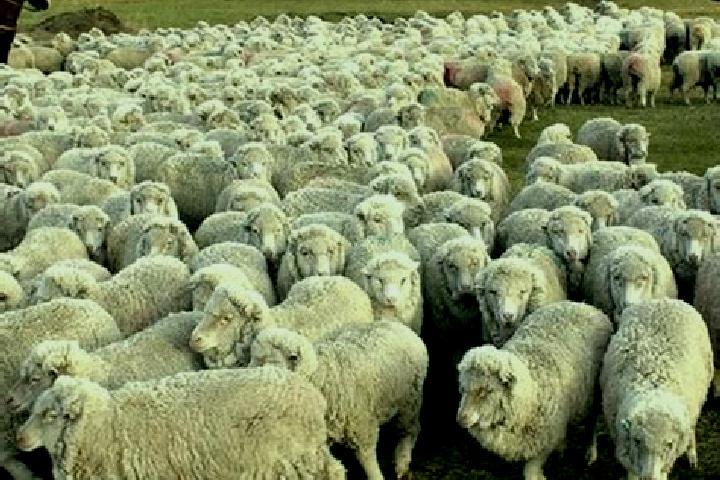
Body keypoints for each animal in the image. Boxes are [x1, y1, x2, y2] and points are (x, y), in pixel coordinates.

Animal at [249, 321, 427, 480]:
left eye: (270, 363)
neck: (319, 375)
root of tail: (397, 324)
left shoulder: (362, 425)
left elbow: (367, 459)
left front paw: (377, 476)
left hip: (409, 400)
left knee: (411, 429)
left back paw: (402, 461)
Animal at [457, 301, 612, 480]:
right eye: (463, 389)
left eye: (486, 391)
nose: (460, 419)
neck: (531, 390)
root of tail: (582, 305)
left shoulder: (545, 438)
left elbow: (531, 471)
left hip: (594, 394)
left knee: (591, 422)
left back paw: (590, 452)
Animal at [600, 299, 713, 480]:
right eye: (637, 440)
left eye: (669, 444)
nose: (649, 477)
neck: (653, 386)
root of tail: (663, 300)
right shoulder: (625, 446)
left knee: (691, 429)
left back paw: (692, 455)